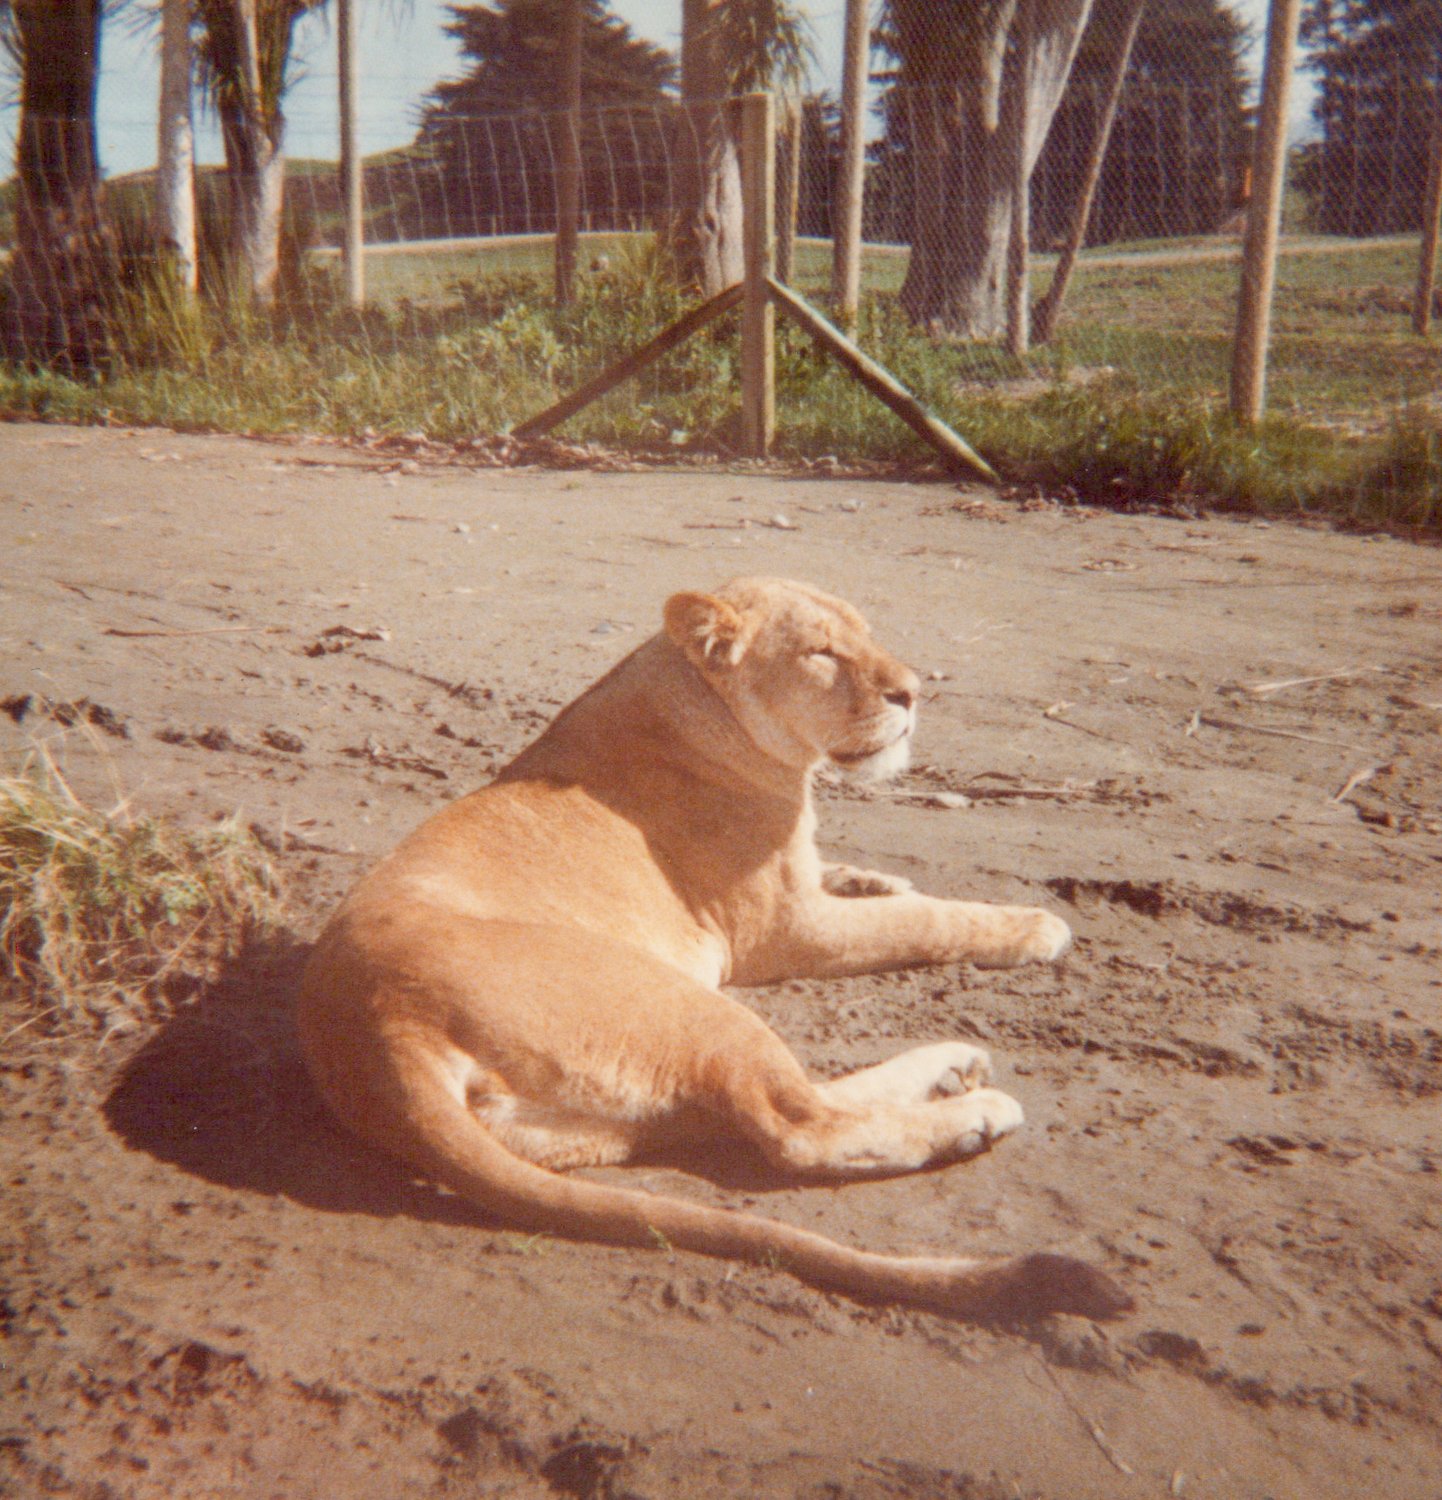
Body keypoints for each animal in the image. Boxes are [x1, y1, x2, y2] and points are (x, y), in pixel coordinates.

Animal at [297, 577, 1130, 1320]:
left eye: (864, 632)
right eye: (823, 653)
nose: (914, 693)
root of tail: (378, 1030)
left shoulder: (801, 892)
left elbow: (872, 885)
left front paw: (876, 877)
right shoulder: (788, 932)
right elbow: (927, 919)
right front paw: (1032, 925)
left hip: (596, 1117)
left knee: (762, 1111)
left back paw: (951, 1069)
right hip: (685, 1005)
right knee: (797, 1127)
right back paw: (973, 1110)